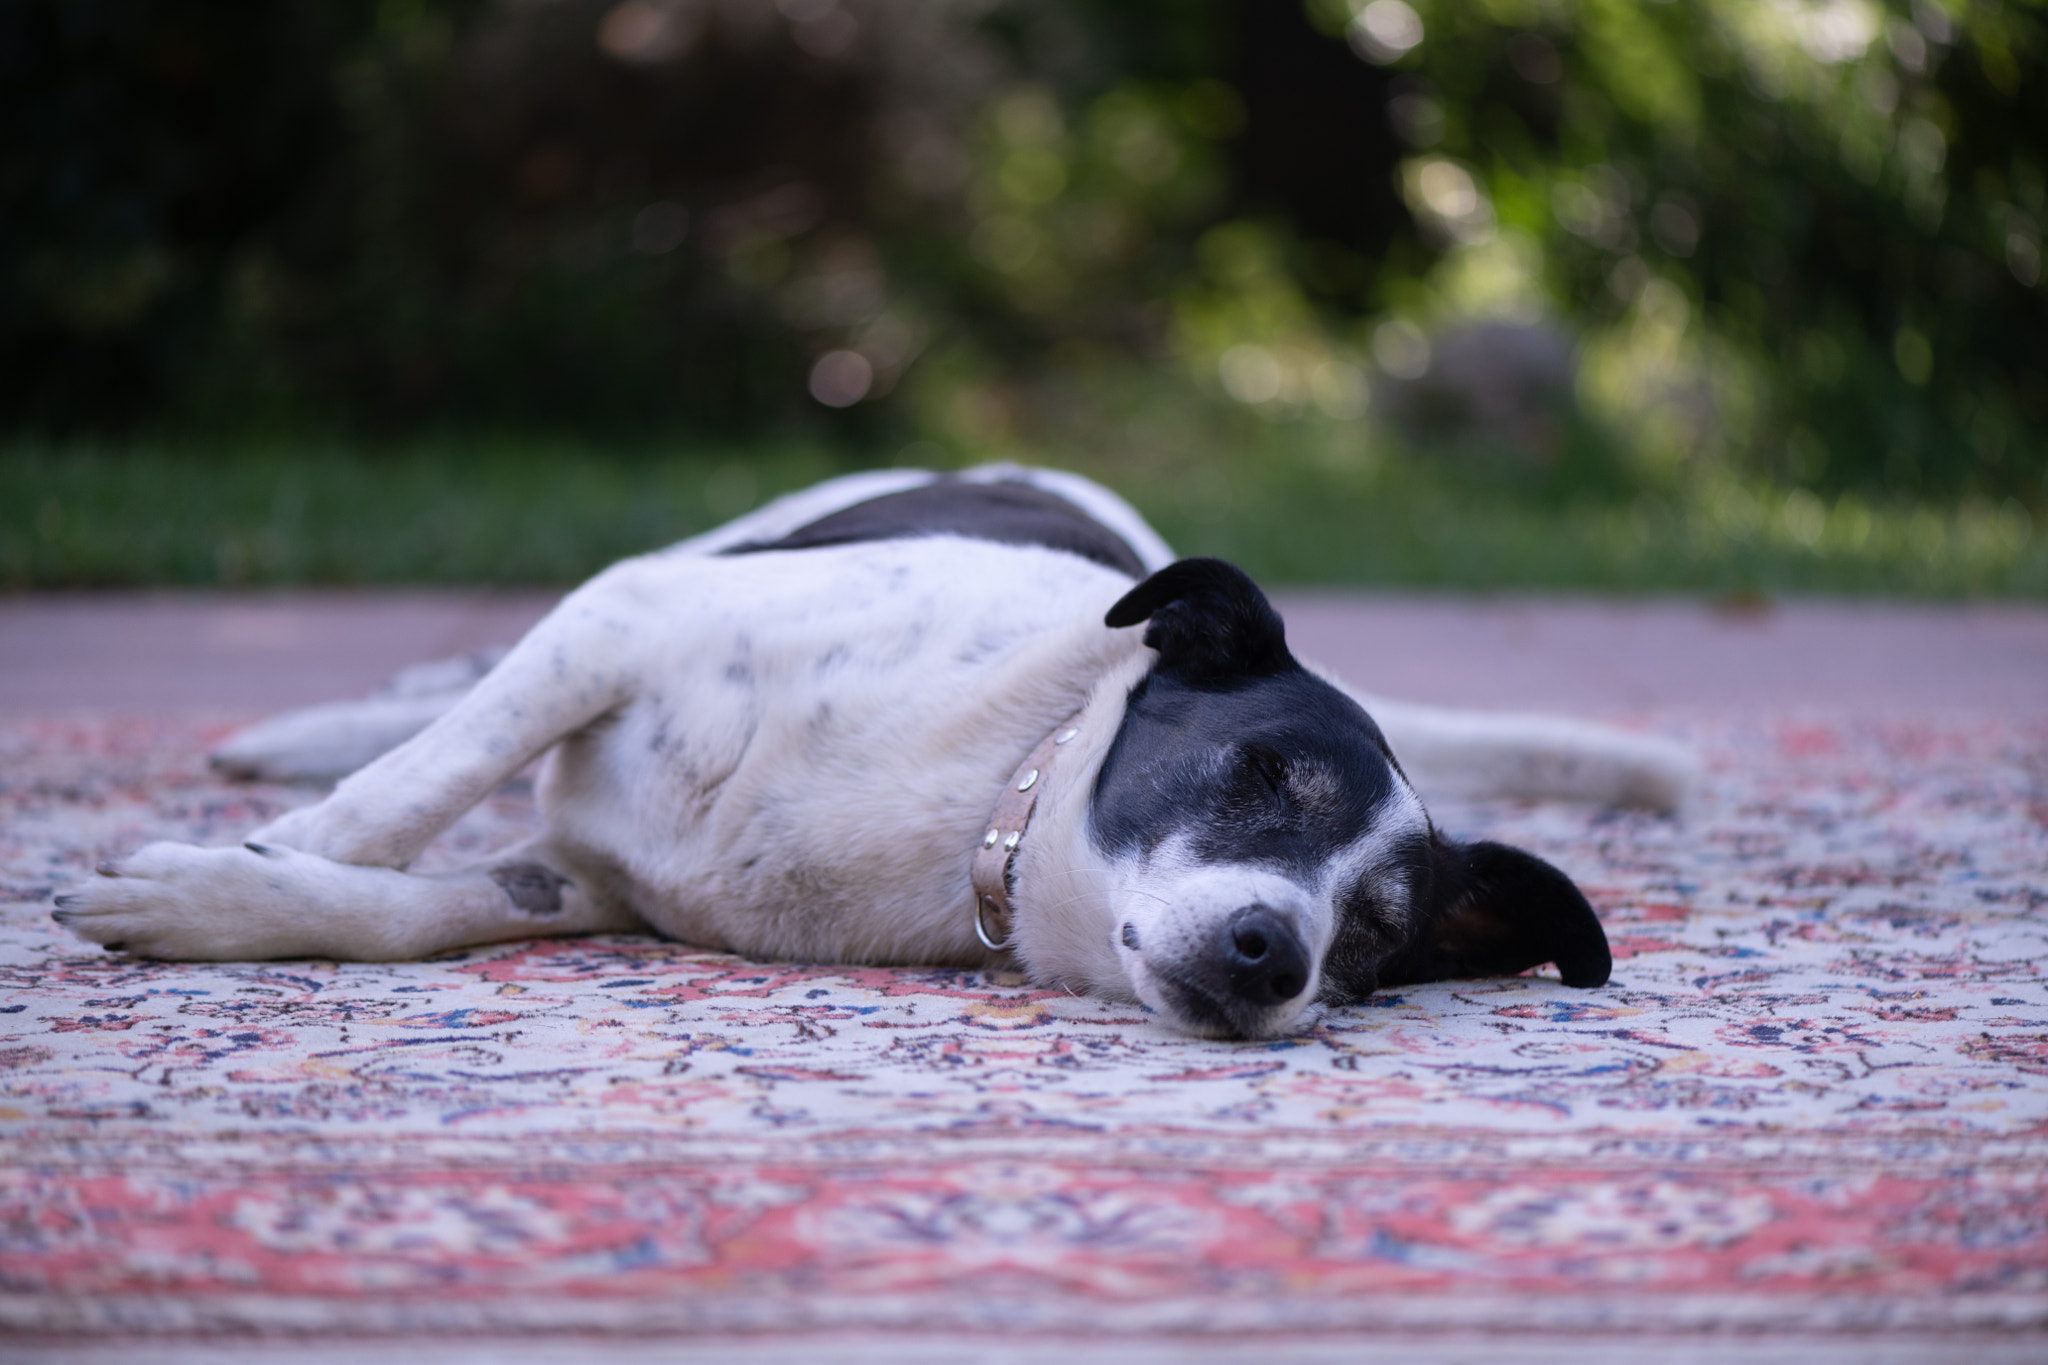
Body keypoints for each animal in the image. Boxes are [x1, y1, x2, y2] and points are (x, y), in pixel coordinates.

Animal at [51, 464, 1695, 1039]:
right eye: (1260, 779)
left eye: (1373, 935)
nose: (1268, 955)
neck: (991, 797)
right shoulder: (617, 622)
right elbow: (402, 800)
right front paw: (253, 857)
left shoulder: (592, 885)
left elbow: (418, 911)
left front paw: (214, 899)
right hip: (712, 545)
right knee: (441, 697)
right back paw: (305, 729)